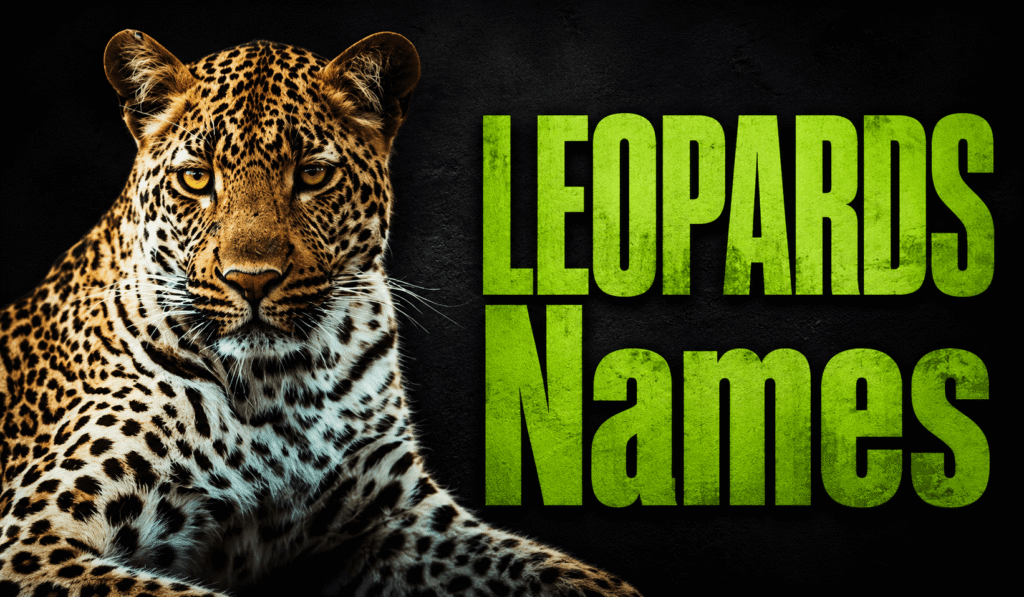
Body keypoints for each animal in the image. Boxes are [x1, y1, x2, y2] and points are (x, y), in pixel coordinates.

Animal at [0, 30, 644, 597]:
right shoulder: (31, 538)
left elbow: (553, 569)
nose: (251, 279)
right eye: (196, 178)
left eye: (312, 174)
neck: (276, 387)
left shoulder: (397, 519)